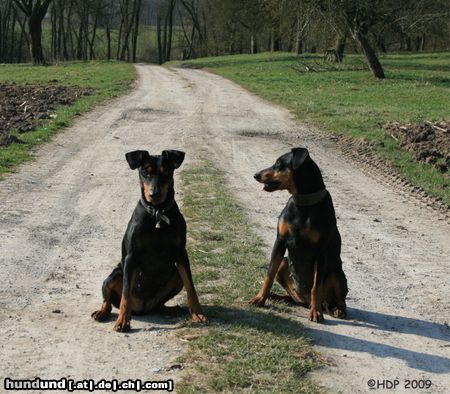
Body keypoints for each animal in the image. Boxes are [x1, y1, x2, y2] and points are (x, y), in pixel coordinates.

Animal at [92, 149, 207, 330]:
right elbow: (125, 294)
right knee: (109, 301)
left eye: (166, 172)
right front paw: (122, 321)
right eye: (145, 172)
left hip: (175, 277)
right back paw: (102, 312)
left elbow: (191, 287)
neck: (157, 214)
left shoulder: (181, 253)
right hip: (113, 276)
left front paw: (197, 314)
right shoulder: (131, 257)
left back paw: (171, 309)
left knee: (159, 304)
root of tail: (141, 309)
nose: (154, 194)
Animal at [250, 146, 348, 322]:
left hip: (336, 274)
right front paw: (260, 298)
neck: (303, 202)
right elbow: (269, 274)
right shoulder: (280, 241)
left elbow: (316, 286)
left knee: (339, 300)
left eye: (278, 163)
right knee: (291, 297)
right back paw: (276, 297)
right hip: (284, 263)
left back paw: (337, 310)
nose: (256, 175)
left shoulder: (321, 250)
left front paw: (316, 313)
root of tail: (304, 300)